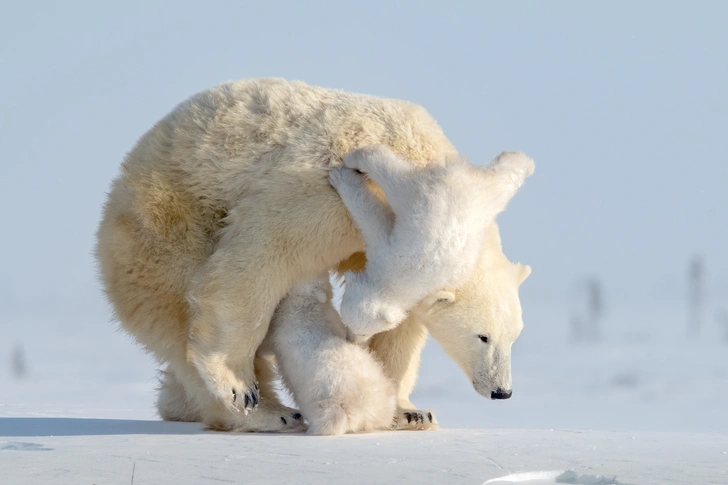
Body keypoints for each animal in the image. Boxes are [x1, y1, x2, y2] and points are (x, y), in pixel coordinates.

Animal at [330, 146, 536, 342]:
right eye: (347, 323)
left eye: (364, 332)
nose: (351, 339)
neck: (397, 282)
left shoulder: (388, 251)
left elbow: (372, 216)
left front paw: (344, 178)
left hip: (423, 194)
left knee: (391, 174)